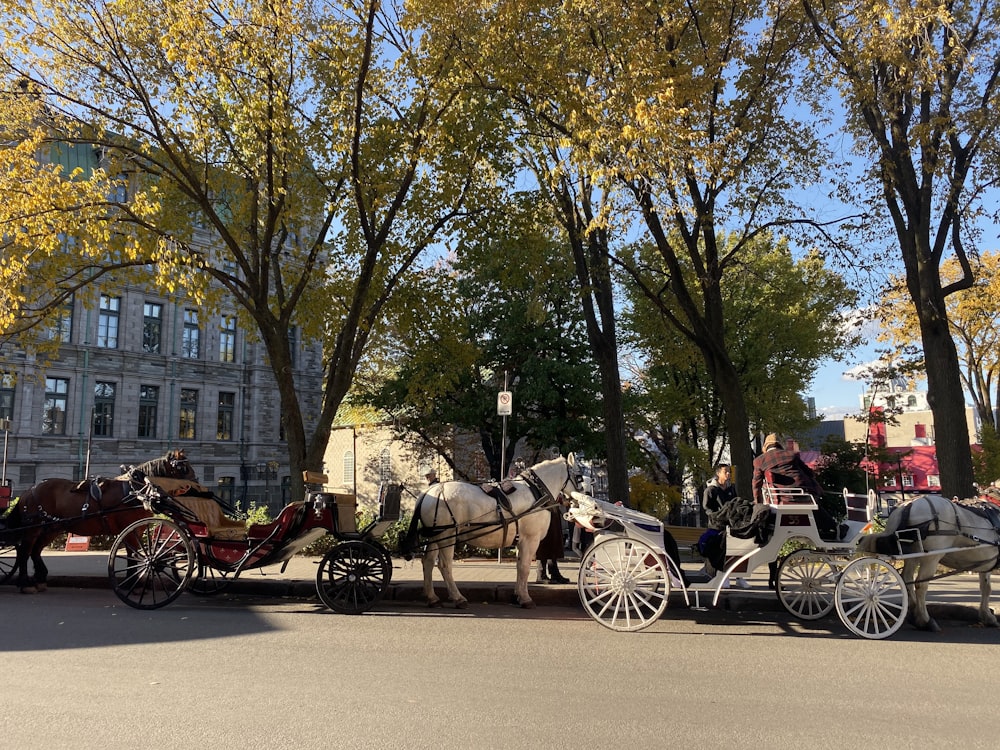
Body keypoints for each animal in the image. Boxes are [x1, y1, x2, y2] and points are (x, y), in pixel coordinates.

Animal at [5, 456, 193, 596]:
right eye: (183, 468)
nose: (196, 485)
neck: (135, 491)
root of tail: (29, 490)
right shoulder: (130, 529)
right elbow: (133, 556)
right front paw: (133, 584)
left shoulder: (136, 529)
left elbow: (133, 555)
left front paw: (132, 584)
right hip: (33, 528)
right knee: (24, 552)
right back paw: (25, 583)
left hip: (52, 528)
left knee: (35, 551)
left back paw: (40, 579)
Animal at [400, 458, 584, 612]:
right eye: (580, 477)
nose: (584, 496)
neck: (536, 492)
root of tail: (430, 491)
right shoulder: (530, 540)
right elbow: (525, 568)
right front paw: (525, 599)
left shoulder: (520, 540)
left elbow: (519, 567)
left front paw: (517, 595)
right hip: (447, 535)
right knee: (444, 566)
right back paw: (458, 598)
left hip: (434, 537)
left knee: (428, 562)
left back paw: (432, 598)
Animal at [856, 500, 996, 636]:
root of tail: (908, 505)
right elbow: (987, 588)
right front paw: (988, 616)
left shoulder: (985, 564)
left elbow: (986, 588)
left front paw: (987, 616)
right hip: (931, 557)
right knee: (920, 585)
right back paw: (925, 620)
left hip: (914, 553)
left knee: (907, 579)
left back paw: (914, 613)